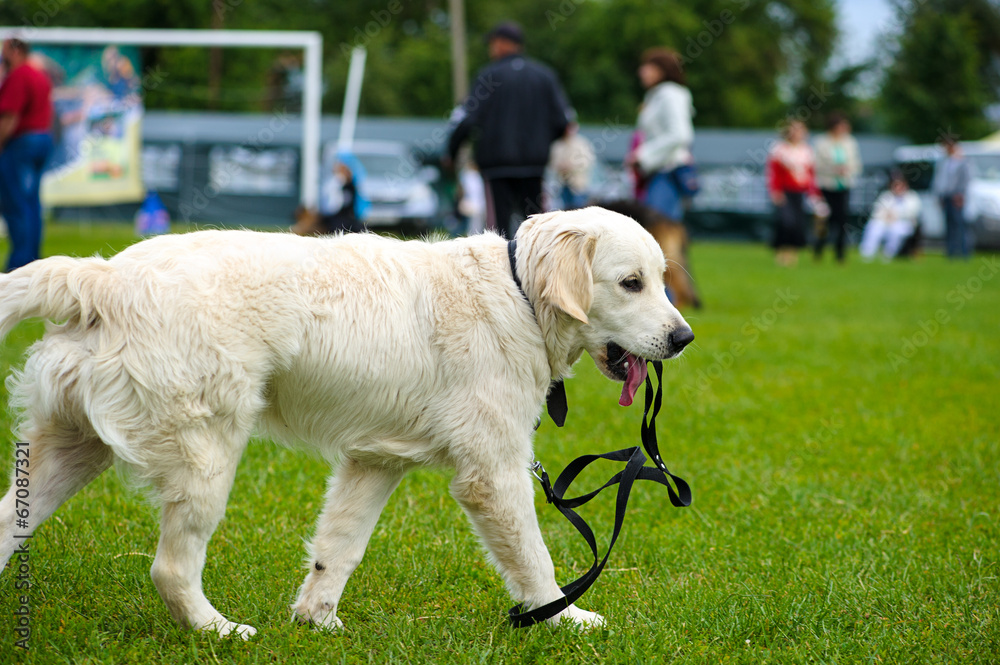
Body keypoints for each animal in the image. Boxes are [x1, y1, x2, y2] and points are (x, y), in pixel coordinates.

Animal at [0, 209, 692, 640]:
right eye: (631, 283)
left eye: (661, 281)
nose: (683, 338)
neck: (518, 295)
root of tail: (101, 276)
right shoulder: (493, 471)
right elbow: (535, 559)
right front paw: (562, 620)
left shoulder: (374, 463)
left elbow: (337, 550)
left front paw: (316, 621)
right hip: (207, 456)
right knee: (171, 569)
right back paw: (218, 631)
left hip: (71, 451)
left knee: (10, 522)